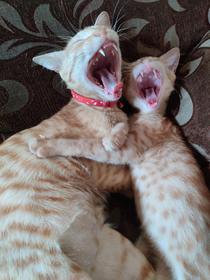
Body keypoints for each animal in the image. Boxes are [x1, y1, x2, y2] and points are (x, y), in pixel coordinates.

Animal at [0, 12, 155, 280]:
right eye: (80, 40)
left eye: (100, 30)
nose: (102, 33)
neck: (102, 107)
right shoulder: (113, 172)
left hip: (117, 249)